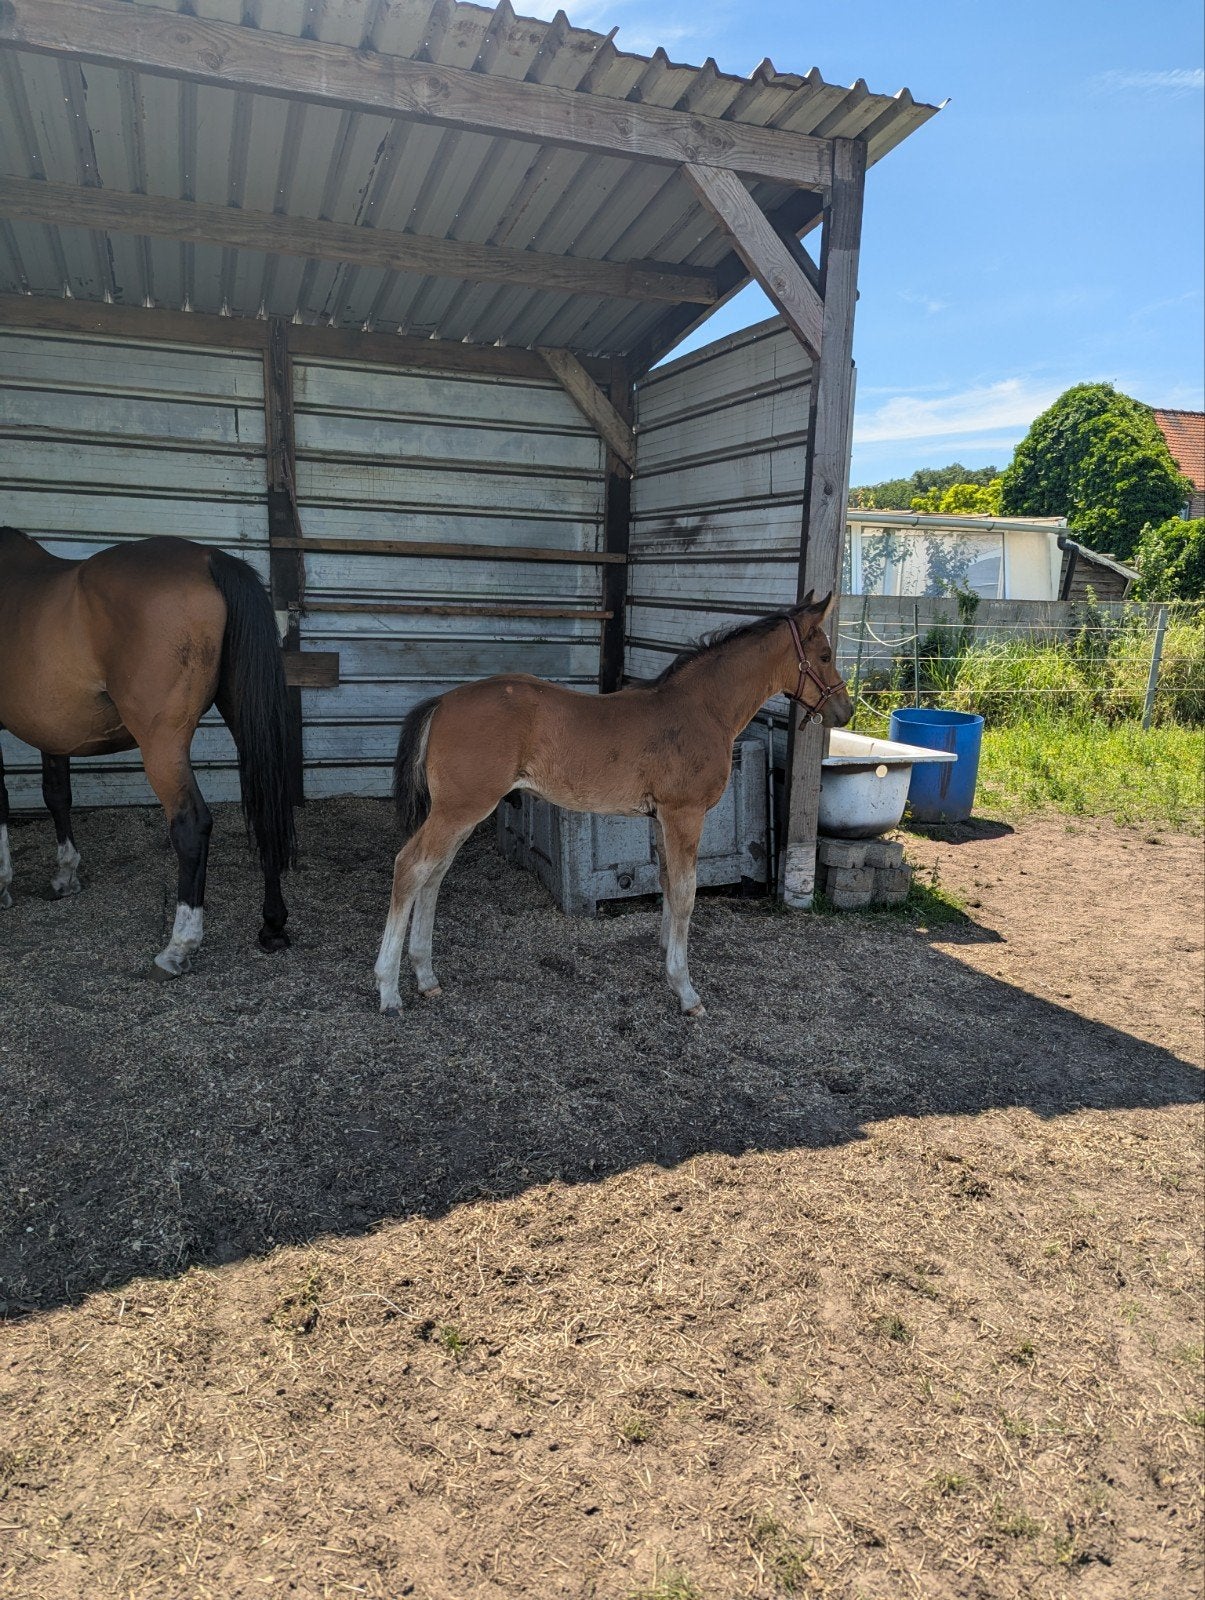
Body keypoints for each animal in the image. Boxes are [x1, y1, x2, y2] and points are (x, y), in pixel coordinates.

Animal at [0, 527, 296, 976]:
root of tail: (208, 559)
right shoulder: (53, 731)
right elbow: (56, 795)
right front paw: (65, 875)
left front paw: (2, 883)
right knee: (264, 809)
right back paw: (272, 925)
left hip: (162, 742)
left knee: (190, 823)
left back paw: (178, 947)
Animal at [373, 592, 852, 1018]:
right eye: (825, 654)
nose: (844, 712)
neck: (701, 709)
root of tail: (442, 702)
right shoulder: (684, 814)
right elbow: (686, 892)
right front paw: (685, 990)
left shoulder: (660, 818)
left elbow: (667, 882)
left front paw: (666, 953)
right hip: (460, 809)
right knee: (410, 866)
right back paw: (389, 990)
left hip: (460, 813)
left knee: (434, 874)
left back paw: (426, 977)